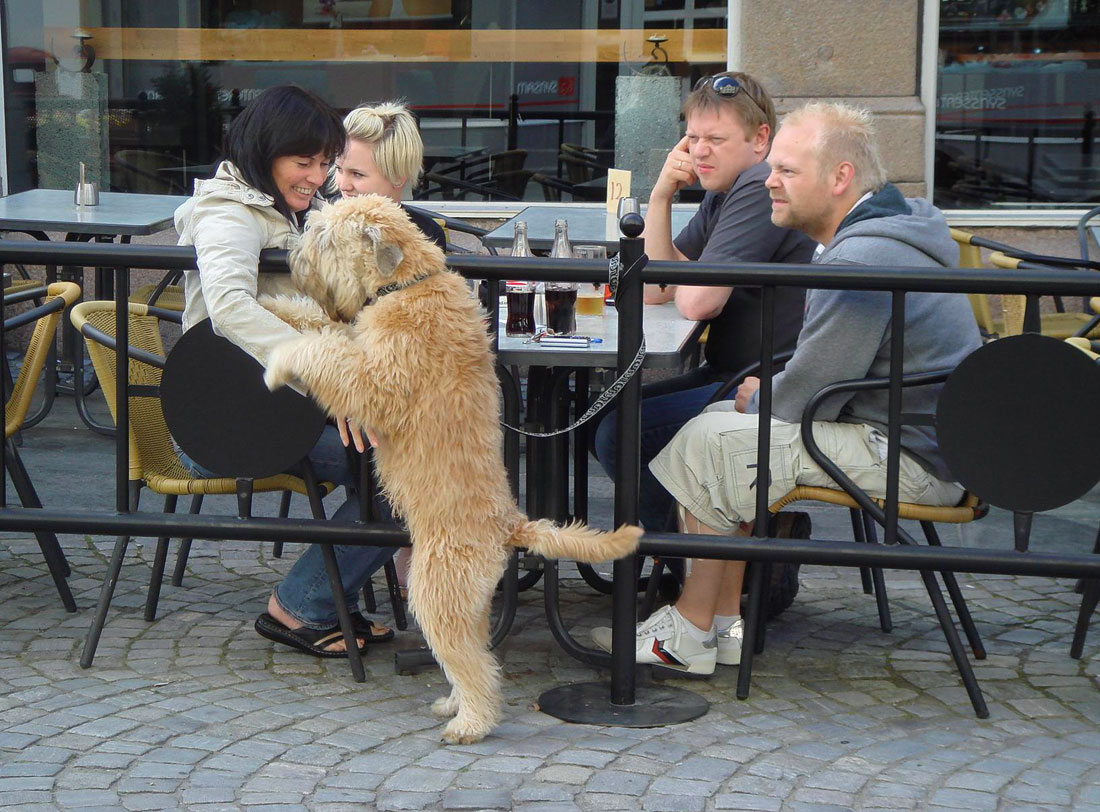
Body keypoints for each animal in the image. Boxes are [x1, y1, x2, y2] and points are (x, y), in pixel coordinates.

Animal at [260, 194, 642, 739]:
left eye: (327, 238)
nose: (291, 256)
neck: (406, 285)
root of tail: (511, 525)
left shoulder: (374, 382)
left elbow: (323, 351)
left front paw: (280, 362)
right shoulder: (357, 342)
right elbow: (321, 326)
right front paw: (275, 306)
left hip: (435, 590)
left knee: (474, 665)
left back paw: (470, 724)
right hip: (467, 604)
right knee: (474, 655)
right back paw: (454, 705)